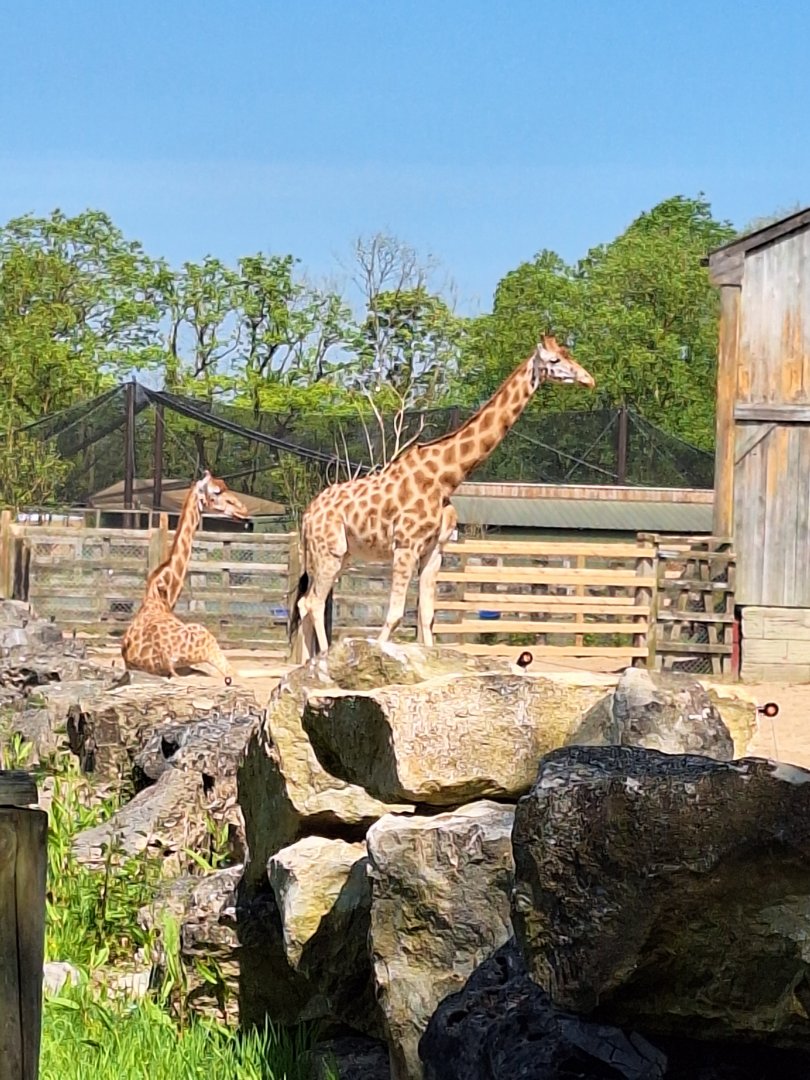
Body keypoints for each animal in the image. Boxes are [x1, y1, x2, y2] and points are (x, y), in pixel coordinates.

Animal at [121, 471, 249, 682]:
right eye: (216, 491)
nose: (243, 509)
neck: (163, 594)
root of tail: (166, 658)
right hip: (206, 642)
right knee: (234, 675)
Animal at [289, 337, 595, 660]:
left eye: (568, 354)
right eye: (554, 360)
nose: (588, 379)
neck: (445, 479)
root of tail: (307, 515)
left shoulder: (434, 550)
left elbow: (427, 615)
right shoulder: (406, 546)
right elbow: (395, 614)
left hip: (340, 554)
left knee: (305, 603)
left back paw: (306, 663)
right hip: (329, 552)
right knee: (313, 602)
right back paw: (321, 659)